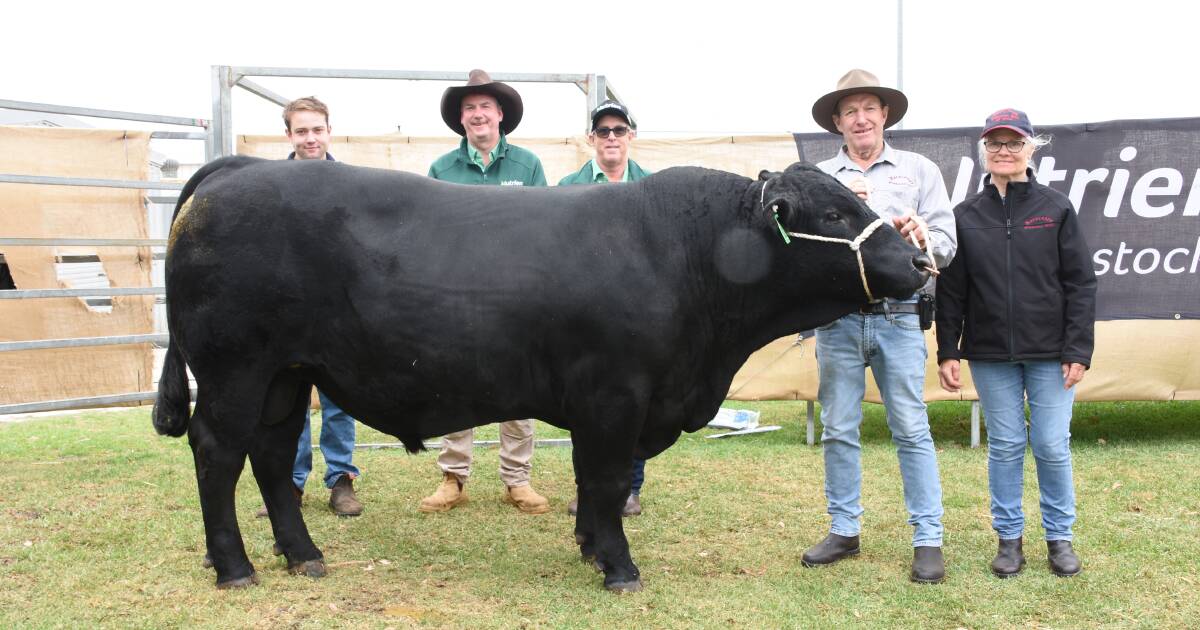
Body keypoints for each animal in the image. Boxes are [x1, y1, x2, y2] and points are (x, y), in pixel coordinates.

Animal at [152, 156, 926, 590]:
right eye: (836, 212)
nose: (921, 259)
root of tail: (239, 167)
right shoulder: (616, 395)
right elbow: (606, 479)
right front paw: (618, 567)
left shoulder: (605, 404)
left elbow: (591, 482)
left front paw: (589, 548)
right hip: (235, 370)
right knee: (219, 456)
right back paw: (236, 568)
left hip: (287, 375)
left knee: (271, 456)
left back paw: (303, 555)